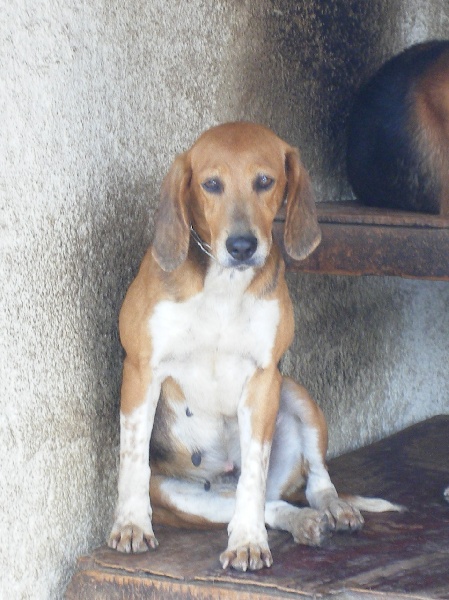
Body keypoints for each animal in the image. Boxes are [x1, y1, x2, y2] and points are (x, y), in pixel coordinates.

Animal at [107, 122, 400, 572]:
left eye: (265, 181)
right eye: (211, 184)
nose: (242, 246)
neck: (223, 283)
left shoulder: (264, 378)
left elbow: (254, 475)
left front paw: (247, 541)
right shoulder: (141, 370)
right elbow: (133, 460)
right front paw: (132, 525)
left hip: (296, 392)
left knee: (307, 484)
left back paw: (331, 509)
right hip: (183, 498)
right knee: (271, 504)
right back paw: (303, 522)